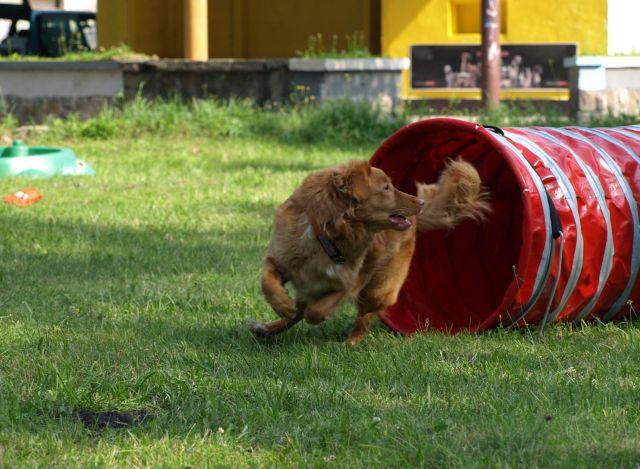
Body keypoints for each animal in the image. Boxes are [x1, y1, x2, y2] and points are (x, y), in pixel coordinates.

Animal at [249, 159, 484, 342]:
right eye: (386, 187)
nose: (421, 202)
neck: (326, 232)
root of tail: (416, 222)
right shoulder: (279, 259)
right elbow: (268, 282)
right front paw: (283, 305)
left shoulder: (349, 284)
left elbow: (315, 311)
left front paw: (309, 312)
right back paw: (267, 329)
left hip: (378, 291)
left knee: (365, 317)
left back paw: (350, 342)